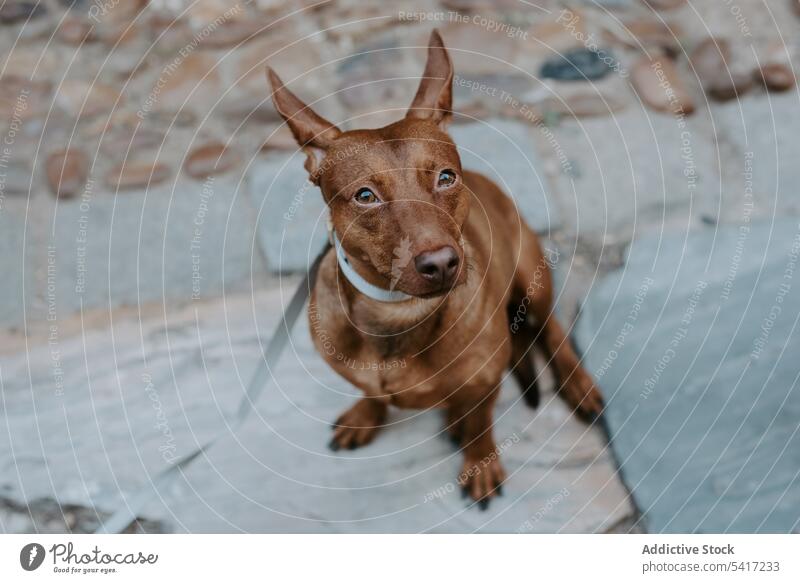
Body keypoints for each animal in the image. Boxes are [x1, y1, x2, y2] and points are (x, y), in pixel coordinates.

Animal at [268, 29, 600, 508]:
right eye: (365, 196)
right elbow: (370, 391)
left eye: (446, 177)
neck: (399, 315)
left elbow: (481, 425)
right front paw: (366, 413)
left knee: (553, 329)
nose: (441, 264)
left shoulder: (485, 382)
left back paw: (576, 385)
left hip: (532, 277)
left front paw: (479, 462)